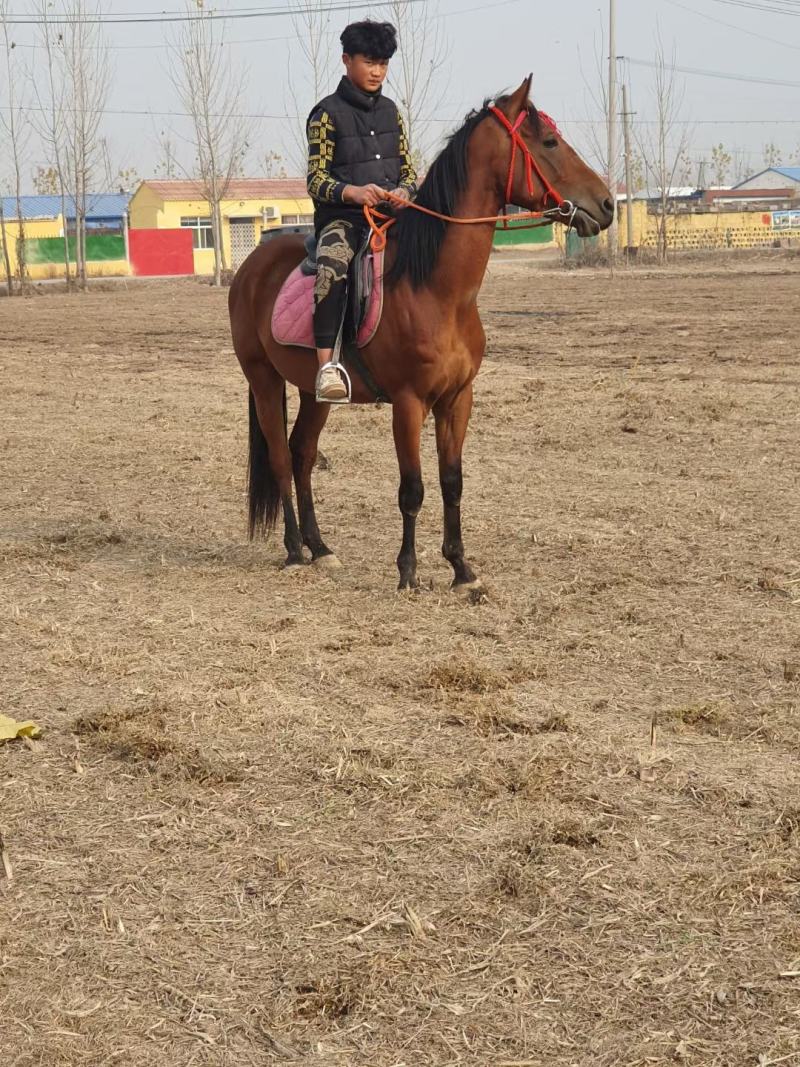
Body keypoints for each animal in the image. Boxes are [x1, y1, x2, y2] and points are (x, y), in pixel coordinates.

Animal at [228, 75, 614, 590]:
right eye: (550, 142)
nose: (607, 205)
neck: (436, 288)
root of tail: (251, 266)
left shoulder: (458, 399)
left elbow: (452, 483)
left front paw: (461, 569)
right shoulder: (409, 403)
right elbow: (412, 488)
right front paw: (408, 572)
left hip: (314, 391)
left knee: (302, 453)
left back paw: (321, 548)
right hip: (263, 379)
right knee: (279, 458)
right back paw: (293, 549)